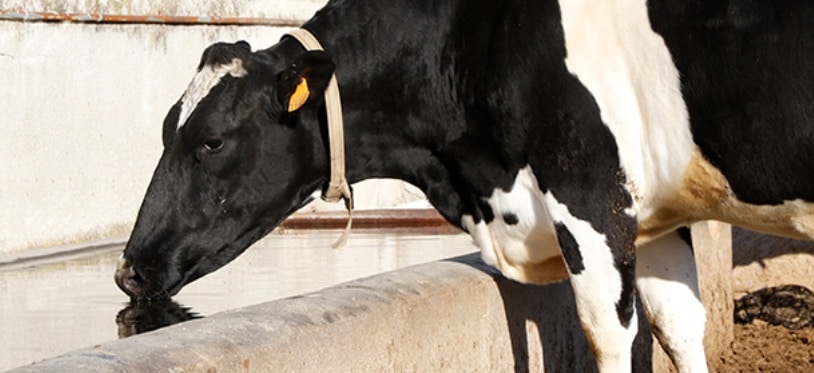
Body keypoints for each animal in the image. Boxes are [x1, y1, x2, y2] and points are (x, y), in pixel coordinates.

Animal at [113, 1, 814, 370]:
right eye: (165, 129)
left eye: (210, 141)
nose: (128, 269)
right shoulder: (657, 208)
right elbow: (679, 323)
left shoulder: (588, 194)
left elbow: (609, 332)